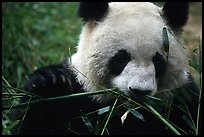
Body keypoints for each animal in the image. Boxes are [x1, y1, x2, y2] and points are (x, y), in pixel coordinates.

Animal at [13, 2, 199, 135]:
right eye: (121, 58)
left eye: (158, 61)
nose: (139, 91)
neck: (125, 111)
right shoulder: (81, 90)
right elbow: (31, 121)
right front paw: (51, 82)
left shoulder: (181, 98)